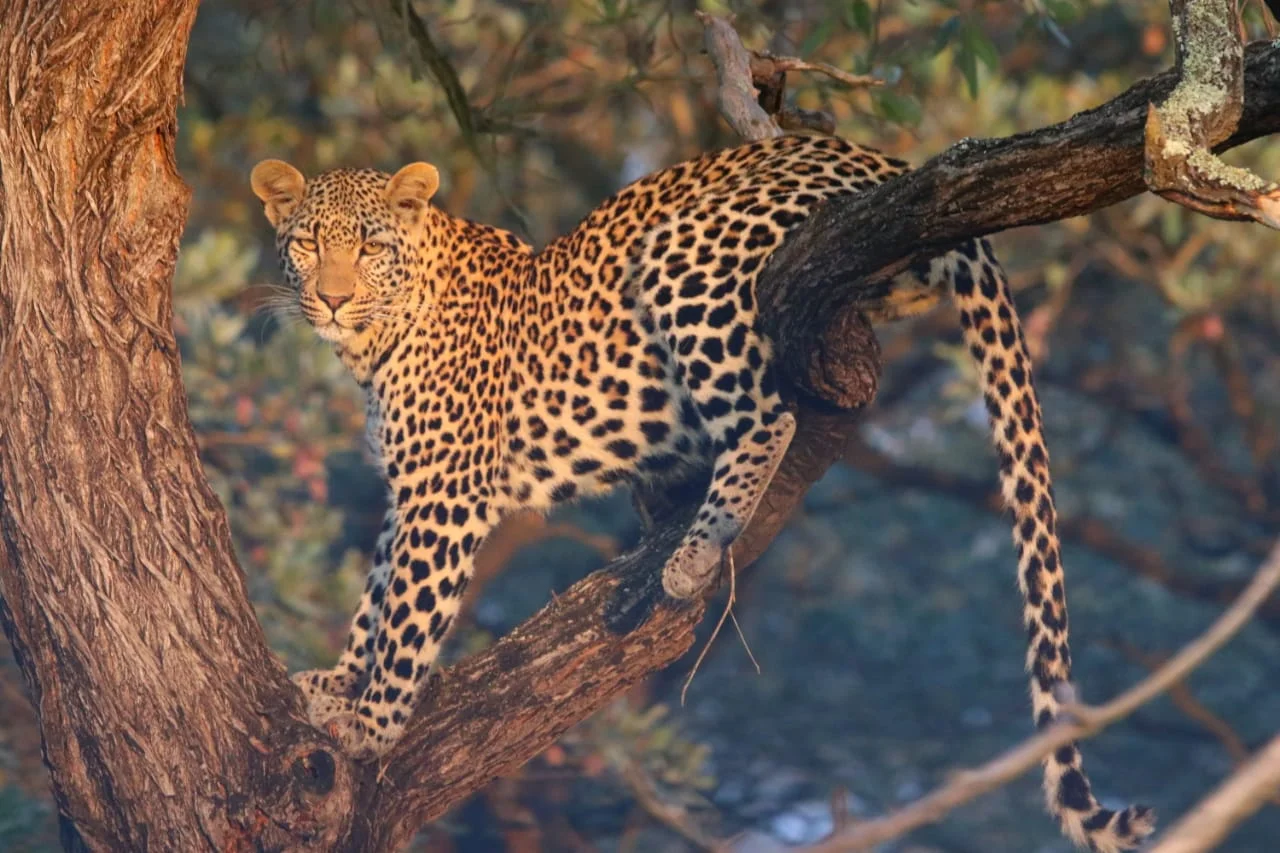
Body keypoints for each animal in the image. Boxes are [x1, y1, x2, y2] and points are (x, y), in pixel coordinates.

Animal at [251, 132, 1153, 853]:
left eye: (370, 246)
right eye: (310, 243)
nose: (331, 298)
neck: (377, 339)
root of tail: (868, 152)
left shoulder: (446, 491)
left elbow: (407, 615)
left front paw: (372, 725)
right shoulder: (409, 490)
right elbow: (374, 595)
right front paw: (338, 681)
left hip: (684, 259)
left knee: (767, 415)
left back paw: (695, 550)